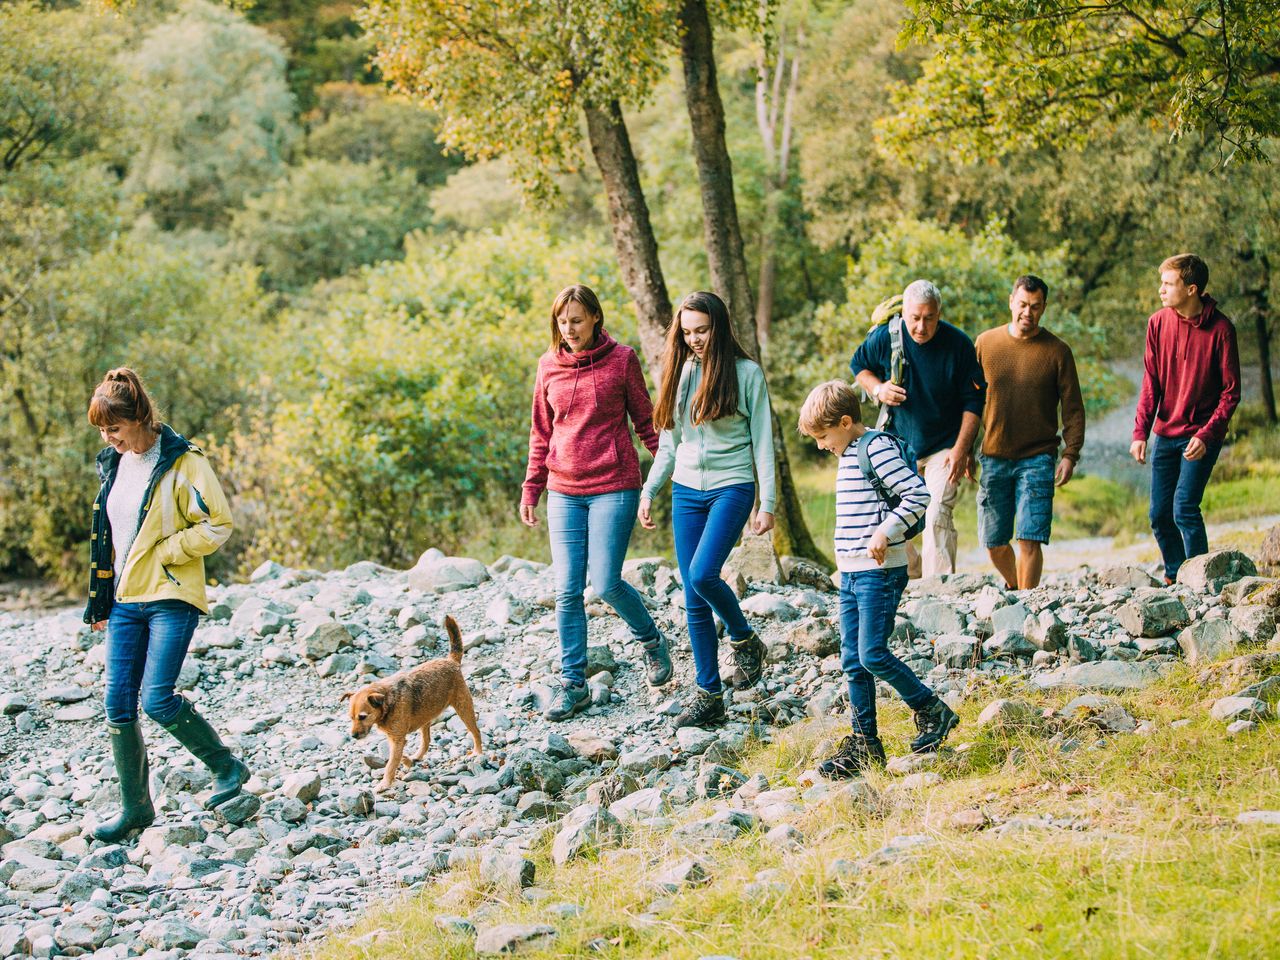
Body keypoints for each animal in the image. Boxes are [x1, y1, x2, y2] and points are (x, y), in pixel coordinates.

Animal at [340, 619, 481, 793]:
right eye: (351, 718)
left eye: (362, 717)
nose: (353, 736)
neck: (388, 703)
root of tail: (451, 660)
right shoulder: (394, 739)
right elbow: (395, 758)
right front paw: (407, 762)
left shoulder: (397, 739)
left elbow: (391, 764)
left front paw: (384, 783)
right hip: (425, 717)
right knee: (426, 741)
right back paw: (417, 756)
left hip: (464, 708)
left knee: (476, 731)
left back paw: (478, 752)